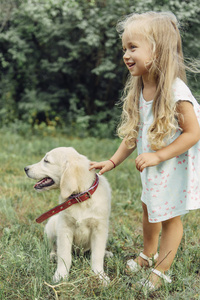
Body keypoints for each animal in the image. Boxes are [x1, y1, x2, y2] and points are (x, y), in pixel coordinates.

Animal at [24, 148, 111, 286]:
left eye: (46, 161)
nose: (25, 168)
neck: (79, 198)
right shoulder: (64, 227)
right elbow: (64, 255)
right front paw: (61, 275)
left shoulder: (99, 229)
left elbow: (97, 255)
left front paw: (100, 275)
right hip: (51, 227)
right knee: (53, 247)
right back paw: (53, 255)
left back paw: (107, 253)